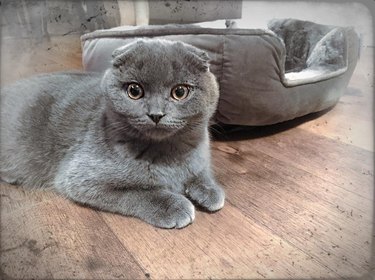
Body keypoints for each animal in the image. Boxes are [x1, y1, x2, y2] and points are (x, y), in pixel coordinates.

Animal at [0, 38, 226, 228]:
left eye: (179, 92)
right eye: (134, 91)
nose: (156, 114)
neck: (169, 155)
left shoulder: (198, 157)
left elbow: (200, 172)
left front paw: (210, 191)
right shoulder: (82, 178)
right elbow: (139, 192)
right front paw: (174, 206)